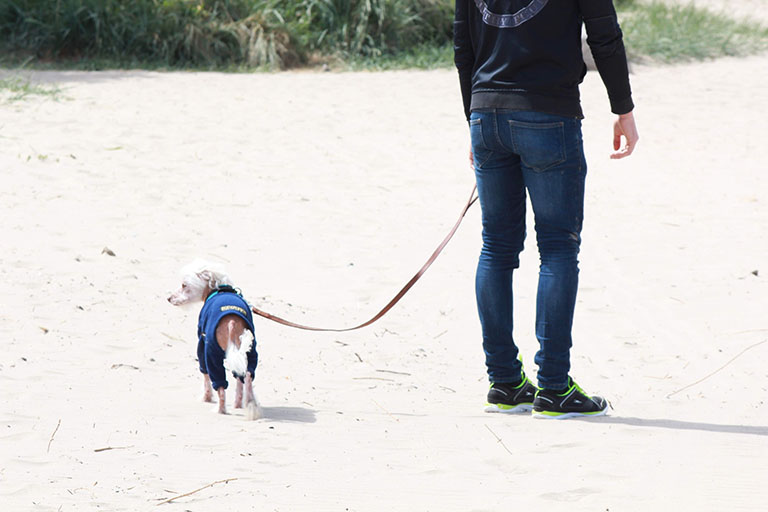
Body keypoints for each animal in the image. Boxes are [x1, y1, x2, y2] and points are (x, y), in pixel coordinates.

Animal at [168, 260, 260, 420]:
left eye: (184, 285)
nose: (169, 298)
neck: (218, 289)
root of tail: (231, 321)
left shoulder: (202, 346)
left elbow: (205, 376)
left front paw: (206, 398)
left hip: (211, 354)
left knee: (220, 387)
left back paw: (220, 410)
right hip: (250, 353)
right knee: (246, 378)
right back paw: (248, 406)